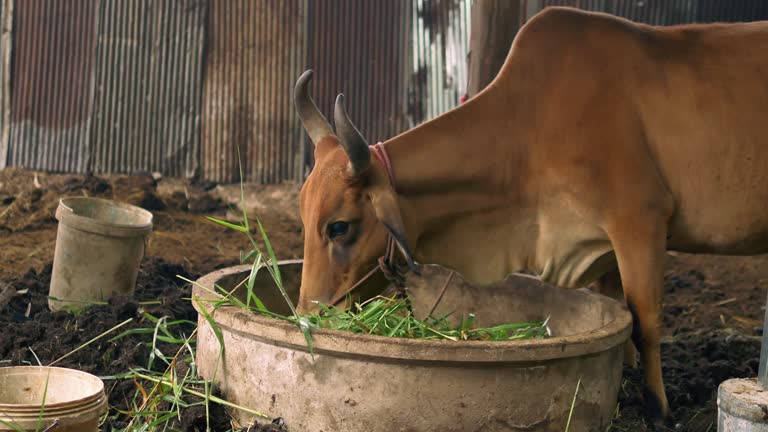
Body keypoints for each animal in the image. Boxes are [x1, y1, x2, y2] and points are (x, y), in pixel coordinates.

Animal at [292, 5, 768, 426]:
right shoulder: (605, 246)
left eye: (339, 226)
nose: (308, 316)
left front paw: (660, 414)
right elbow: (623, 316)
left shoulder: (641, 222)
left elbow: (645, 322)